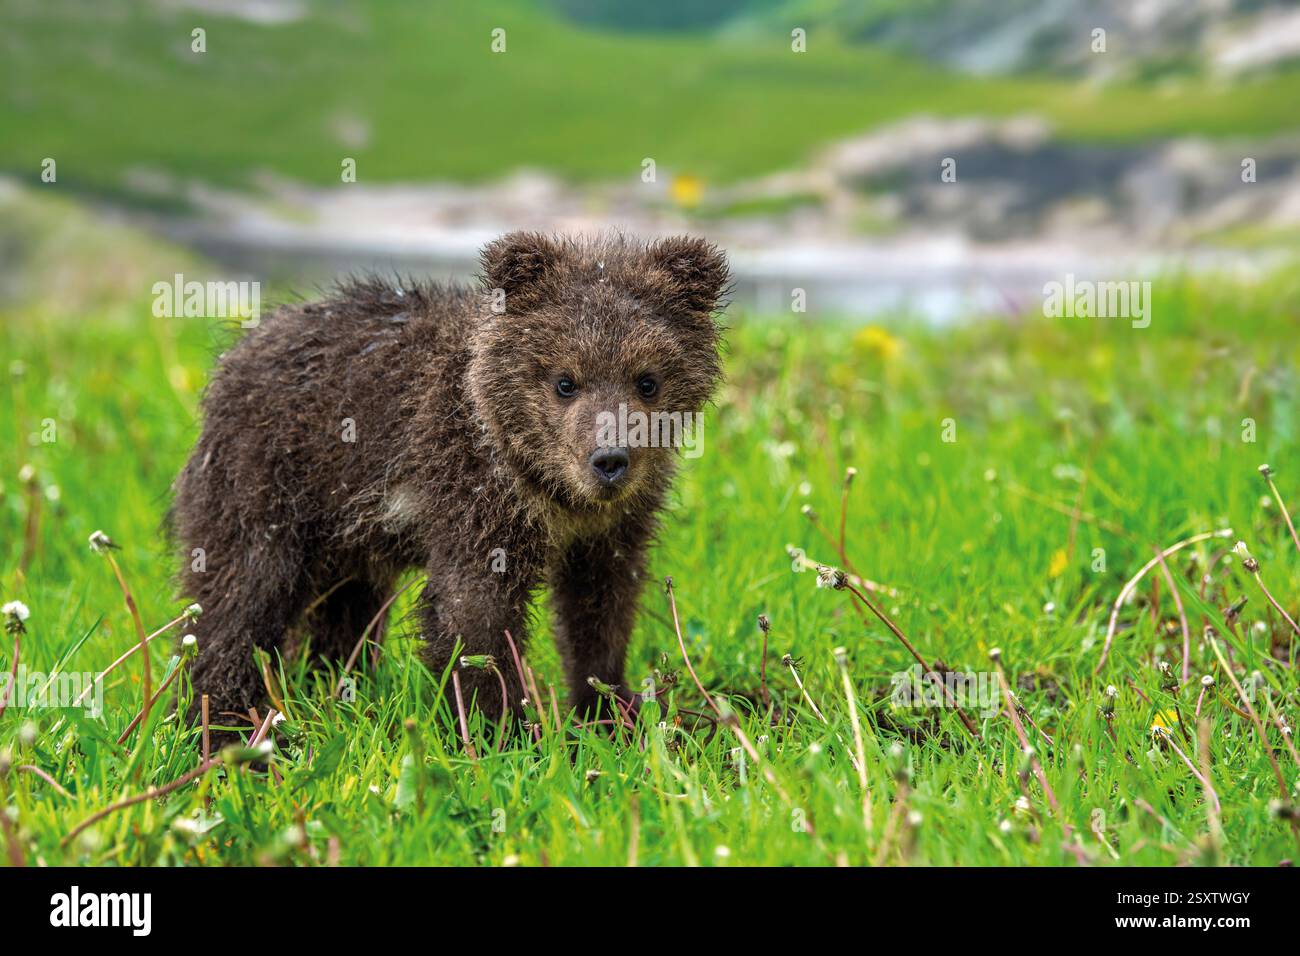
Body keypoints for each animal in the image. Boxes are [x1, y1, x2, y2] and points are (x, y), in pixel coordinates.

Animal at [171, 231, 728, 732]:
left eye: (647, 380)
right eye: (565, 381)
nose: (610, 459)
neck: (547, 490)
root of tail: (235, 355)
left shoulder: (611, 526)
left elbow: (600, 606)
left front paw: (611, 710)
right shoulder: (471, 495)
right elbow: (473, 618)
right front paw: (498, 730)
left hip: (343, 528)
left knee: (344, 609)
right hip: (267, 481)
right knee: (242, 594)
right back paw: (223, 723)